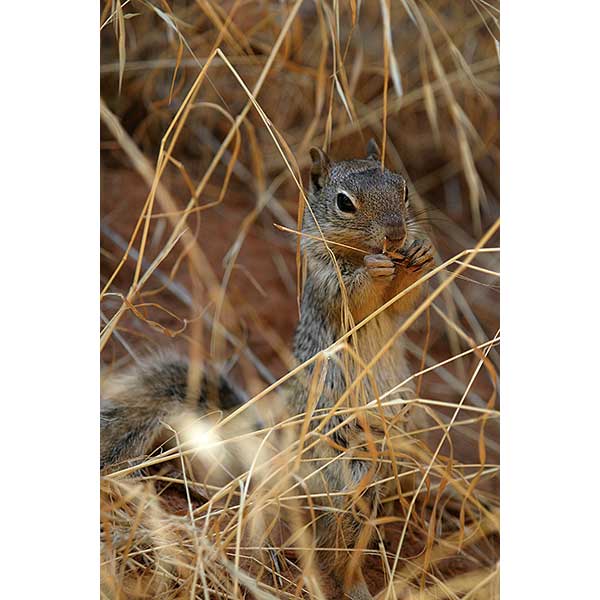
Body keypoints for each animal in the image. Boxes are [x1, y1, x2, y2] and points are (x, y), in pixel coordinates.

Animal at [101, 141, 434, 600]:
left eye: (402, 189)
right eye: (344, 203)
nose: (396, 235)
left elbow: (404, 302)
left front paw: (418, 254)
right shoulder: (326, 285)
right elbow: (355, 296)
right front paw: (375, 269)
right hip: (343, 469)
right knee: (336, 543)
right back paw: (355, 586)